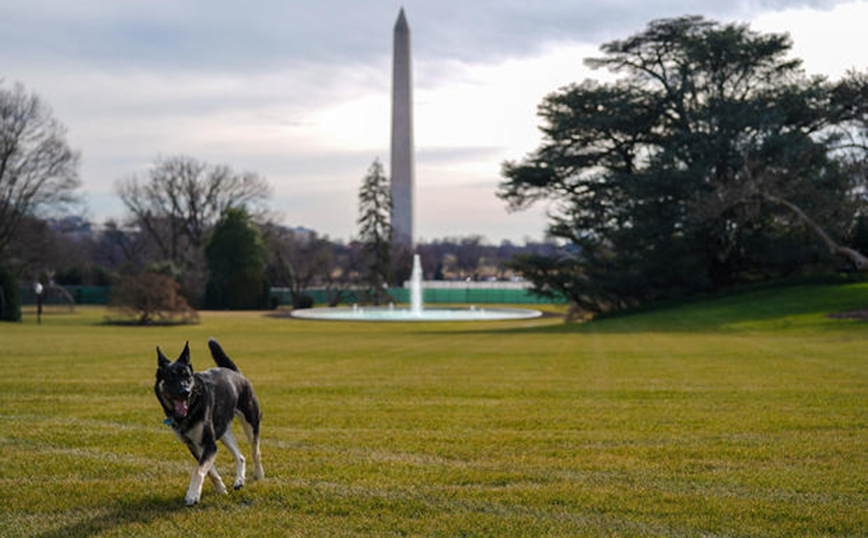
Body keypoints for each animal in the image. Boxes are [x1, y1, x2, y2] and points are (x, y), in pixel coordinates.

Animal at [155, 338, 264, 504]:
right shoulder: (195, 445)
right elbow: (208, 471)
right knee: (240, 457)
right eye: (171, 377)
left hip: (251, 423)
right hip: (223, 432)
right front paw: (220, 489)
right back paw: (239, 480)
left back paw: (259, 474)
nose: (185, 392)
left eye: (188, 377)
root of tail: (236, 373)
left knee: (255, 451)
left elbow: (199, 470)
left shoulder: (209, 444)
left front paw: (192, 494)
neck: (191, 406)